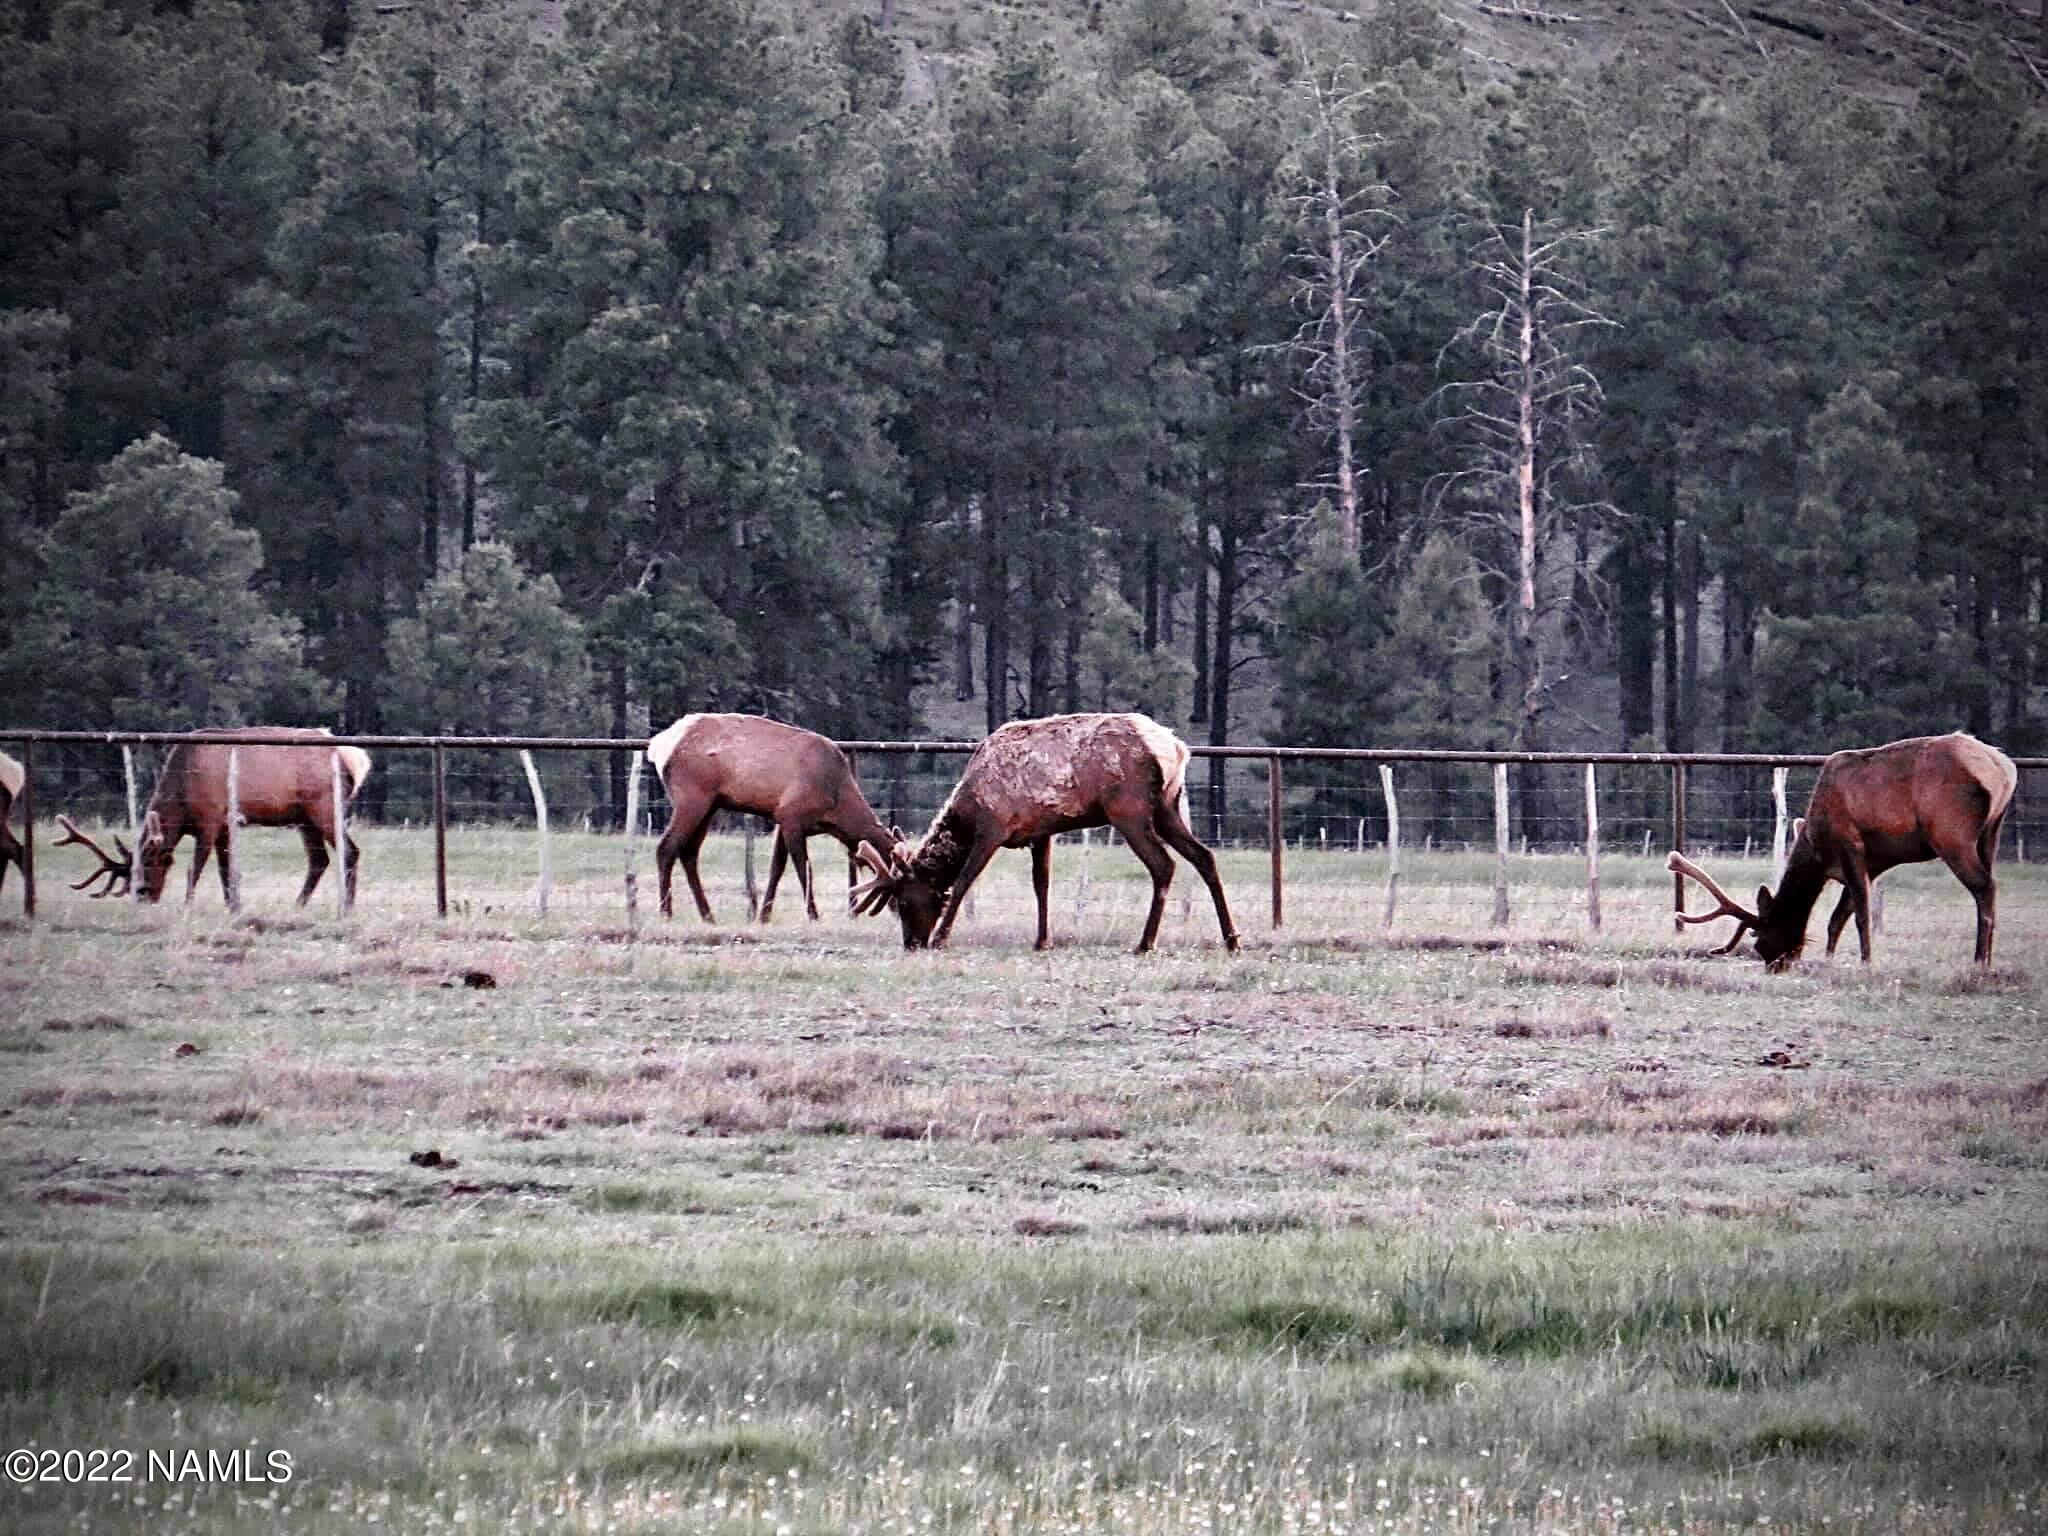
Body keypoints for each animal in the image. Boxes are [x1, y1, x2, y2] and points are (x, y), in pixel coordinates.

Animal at [136, 728, 372, 906]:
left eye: (148, 862)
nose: (142, 896)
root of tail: (351, 760)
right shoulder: (224, 826)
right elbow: (225, 870)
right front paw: (231, 906)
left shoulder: (209, 821)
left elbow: (194, 868)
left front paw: (188, 905)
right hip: (306, 819)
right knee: (319, 860)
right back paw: (298, 905)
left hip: (324, 808)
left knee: (350, 851)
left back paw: (347, 906)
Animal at [645, 713, 902, 924]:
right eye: (899, 878)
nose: (899, 912)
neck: (836, 806)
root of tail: (659, 745)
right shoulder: (791, 815)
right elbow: (804, 868)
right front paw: (813, 915)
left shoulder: (782, 820)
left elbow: (776, 868)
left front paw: (764, 916)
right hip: (692, 798)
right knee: (666, 847)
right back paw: (666, 913)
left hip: (710, 805)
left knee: (688, 852)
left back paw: (708, 916)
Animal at [850, 711, 1240, 954]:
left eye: (903, 902)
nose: (911, 943)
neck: (968, 811)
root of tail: (1176, 748)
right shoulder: (1040, 832)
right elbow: (1042, 884)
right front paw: (1042, 941)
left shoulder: (993, 828)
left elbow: (962, 882)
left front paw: (942, 938)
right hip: (1168, 808)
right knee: (1204, 856)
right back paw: (1232, 939)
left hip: (1129, 809)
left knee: (1163, 865)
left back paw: (1146, 943)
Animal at [1667, 732, 2017, 970]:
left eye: (1762, 939)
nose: (1774, 966)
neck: (1817, 849)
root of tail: (2003, 768)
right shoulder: (1872, 863)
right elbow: (1837, 917)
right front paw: (1829, 959)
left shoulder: (1850, 845)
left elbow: (1860, 914)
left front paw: (1866, 962)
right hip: (1991, 832)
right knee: (1989, 884)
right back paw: (1986, 958)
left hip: (1951, 834)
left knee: (1984, 886)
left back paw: (1980, 960)